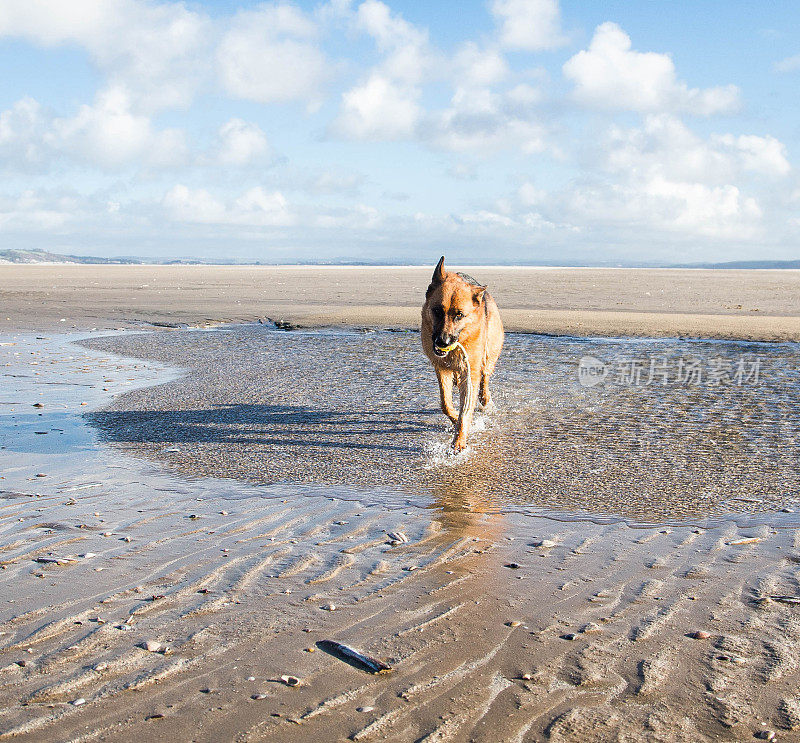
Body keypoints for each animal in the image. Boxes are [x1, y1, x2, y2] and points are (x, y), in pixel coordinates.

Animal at [422, 256, 504, 454]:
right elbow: (445, 404)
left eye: (459, 315)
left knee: (485, 378)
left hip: (489, 354)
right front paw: (454, 419)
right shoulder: (441, 368)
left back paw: (485, 398)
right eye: (437, 311)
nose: (442, 342)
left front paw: (459, 440)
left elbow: (466, 410)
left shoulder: (470, 372)